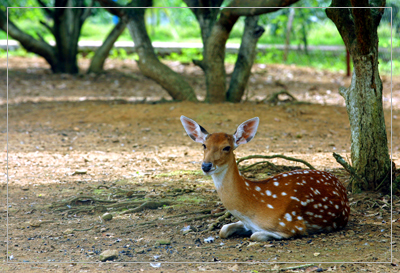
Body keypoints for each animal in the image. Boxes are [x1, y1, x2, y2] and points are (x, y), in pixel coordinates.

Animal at [181, 115, 350, 240]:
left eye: (227, 147)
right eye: (204, 145)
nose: (206, 166)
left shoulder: (292, 225)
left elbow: (255, 236)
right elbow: (223, 229)